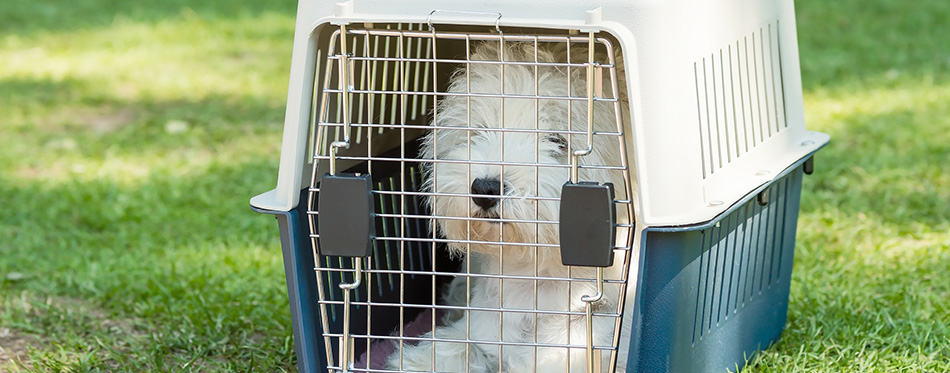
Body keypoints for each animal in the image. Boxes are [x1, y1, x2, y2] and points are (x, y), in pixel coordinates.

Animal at [386, 40, 632, 372]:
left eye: (558, 141)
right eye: (479, 130)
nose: (484, 188)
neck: (536, 282)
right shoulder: (477, 333)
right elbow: (449, 351)